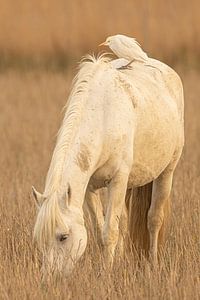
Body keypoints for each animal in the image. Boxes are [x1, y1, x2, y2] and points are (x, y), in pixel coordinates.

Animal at [32, 52, 184, 276]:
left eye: (63, 237)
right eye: (39, 239)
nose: (49, 279)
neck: (103, 119)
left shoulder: (117, 180)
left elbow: (109, 231)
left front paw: (106, 274)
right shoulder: (89, 188)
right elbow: (100, 229)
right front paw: (112, 266)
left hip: (167, 172)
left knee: (154, 219)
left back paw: (153, 264)